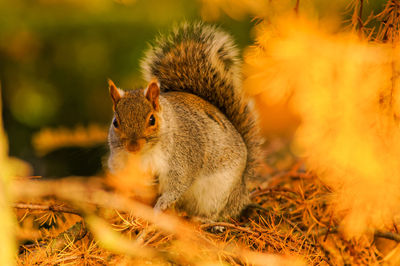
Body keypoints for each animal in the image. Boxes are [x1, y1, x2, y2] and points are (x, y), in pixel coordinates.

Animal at [107, 21, 262, 219]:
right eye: (115, 122)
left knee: (221, 211)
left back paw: (205, 220)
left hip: (219, 192)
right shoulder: (121, 165)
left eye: (152, 120)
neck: (143, 155)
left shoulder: (184, 156)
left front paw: (161, 205)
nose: (132, 146)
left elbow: (179, 182)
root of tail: (242, 189)